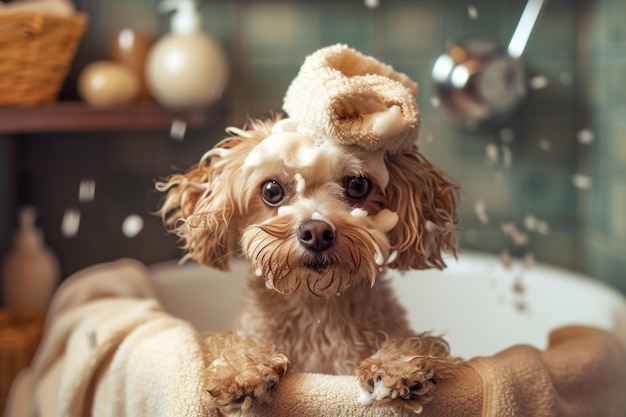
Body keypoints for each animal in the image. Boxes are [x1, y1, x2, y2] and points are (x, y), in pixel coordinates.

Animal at [156, 114, 458, 412]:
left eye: (358, 185)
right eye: (271, 190)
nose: (317, 232)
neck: (316, 311)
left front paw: (397, 365)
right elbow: (233, 341)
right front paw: (243, 367)